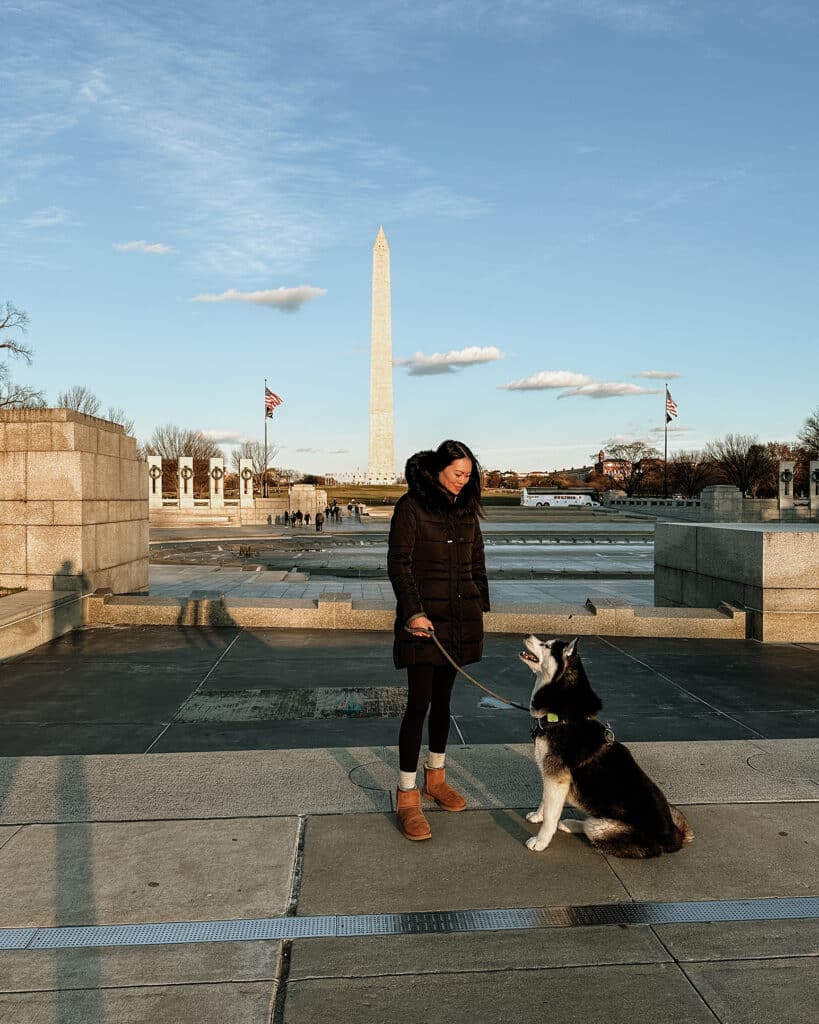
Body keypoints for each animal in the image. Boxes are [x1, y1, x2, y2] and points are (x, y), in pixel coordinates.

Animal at [518, 634, 692, 860]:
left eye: (546, 645)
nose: (527, 635)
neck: (563, 716)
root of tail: (674, 837)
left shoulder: (556, 778)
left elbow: (550, 815)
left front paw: (540, 841)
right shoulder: (552, 777)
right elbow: (545, 803)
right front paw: (538, 816)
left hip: (604, 827)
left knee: (590, 827)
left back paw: (569, 824)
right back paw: (568, 824)